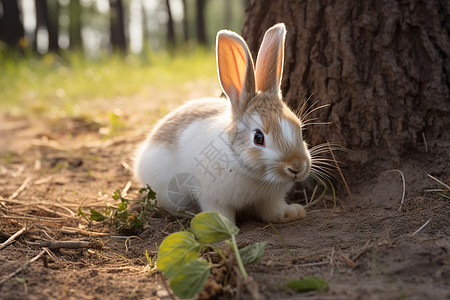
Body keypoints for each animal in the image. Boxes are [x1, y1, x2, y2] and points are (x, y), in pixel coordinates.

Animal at [134, 23, 310, 224]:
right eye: (258, 137)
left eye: (299, 127)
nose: (297, 166)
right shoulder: (212, 197)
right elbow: (218, 211)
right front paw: (223, 225)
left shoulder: (268, 199)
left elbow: (272, 209)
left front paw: (291, 213)